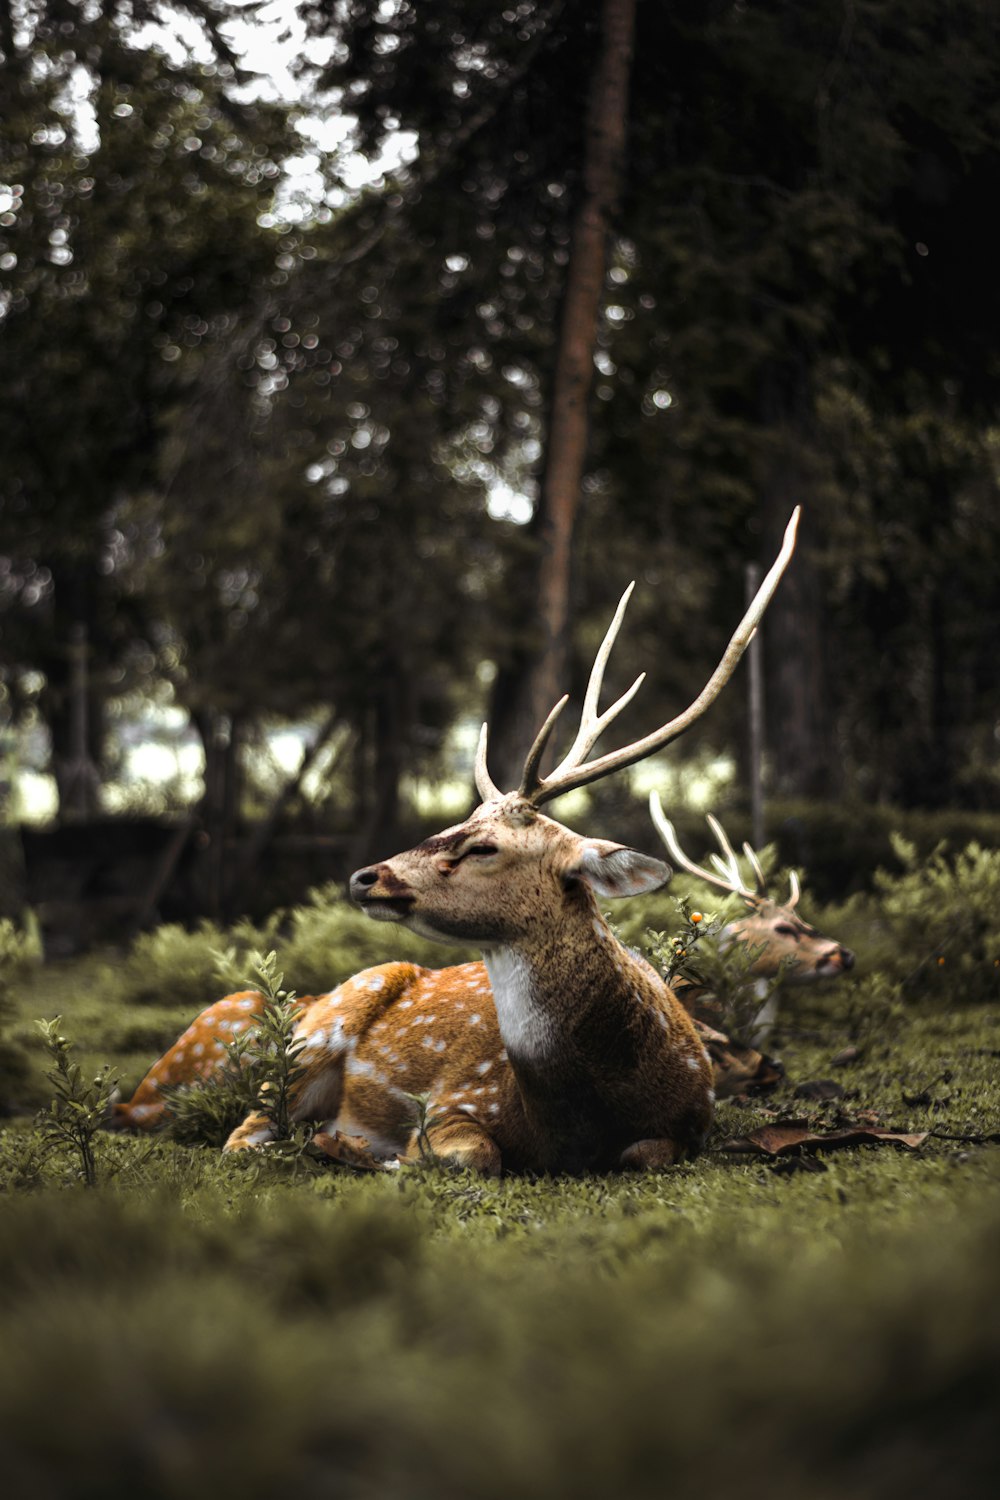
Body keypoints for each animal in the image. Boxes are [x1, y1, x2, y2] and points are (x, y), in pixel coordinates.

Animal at [115, 513, 803, 1170]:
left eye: (485, 847)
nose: (365, 876)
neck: (578, 1118)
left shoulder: (687, 1126)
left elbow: (646, 1154)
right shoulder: (458, 1096)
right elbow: (477, 1155)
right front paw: (379, 1152)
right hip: (315, 1033)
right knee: (245, 1135)